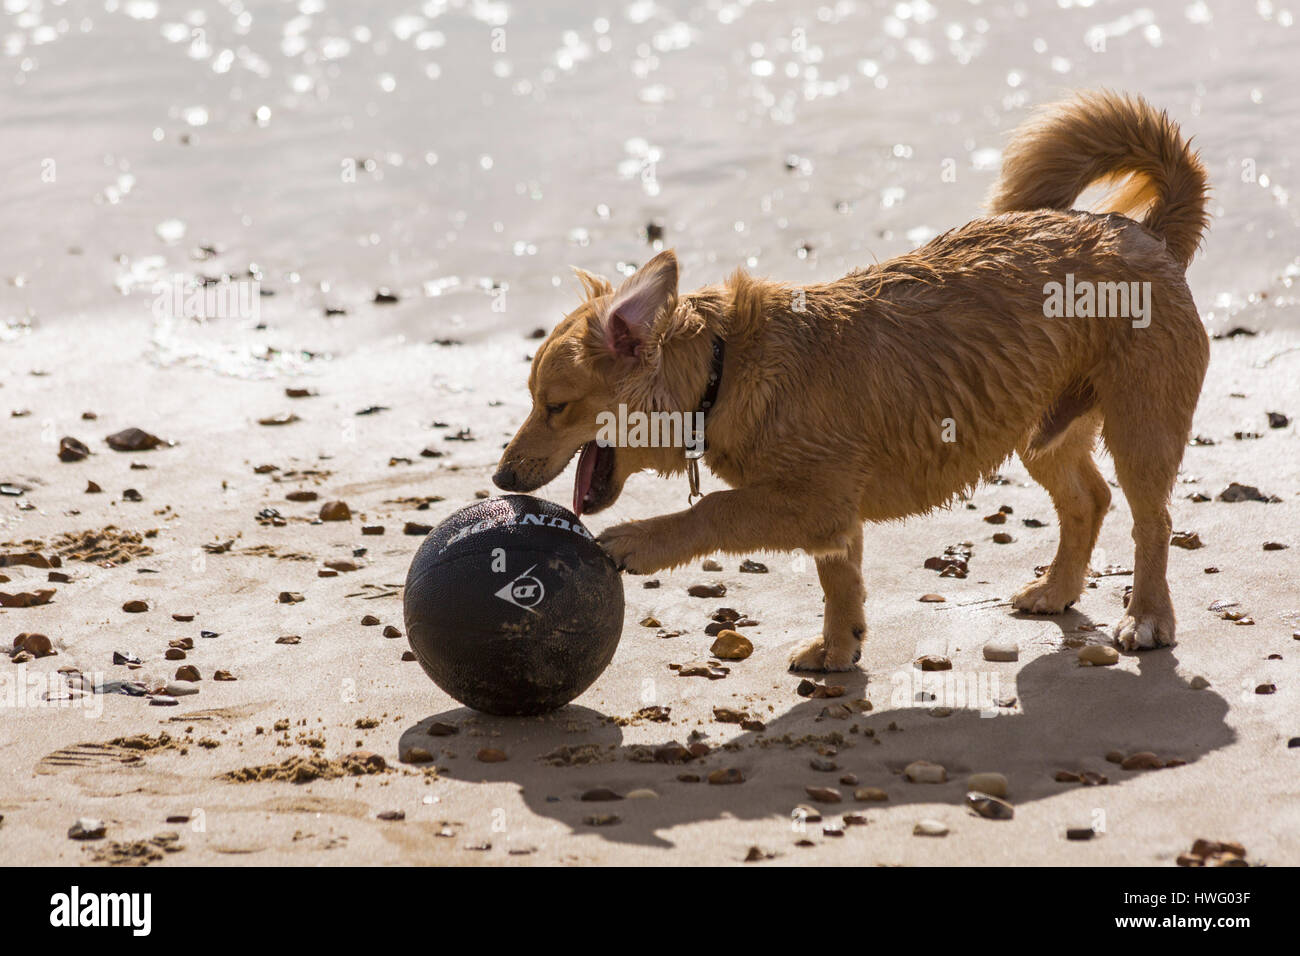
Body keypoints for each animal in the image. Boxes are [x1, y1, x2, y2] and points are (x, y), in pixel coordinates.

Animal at [493, 89, 1206, 671]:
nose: (499, 479)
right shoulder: (833, 517)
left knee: (1151, 520)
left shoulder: (814, 500)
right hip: (1041, 431)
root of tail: (1147, 234)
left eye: (554, 406)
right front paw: (838, 650)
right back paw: (1057, 590)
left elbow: (716, 510)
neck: (728, 369)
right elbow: (839, 580)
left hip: (1140, 427)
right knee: (1088, 500)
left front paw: (639, 540)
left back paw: (1147, 616)